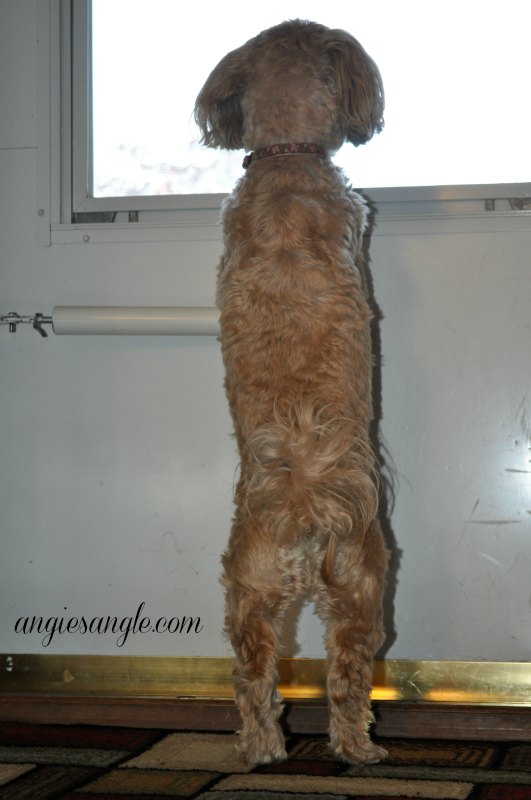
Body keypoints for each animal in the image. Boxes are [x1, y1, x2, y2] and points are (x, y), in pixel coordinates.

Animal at [195, 18, 390, 764]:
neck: (284, 162)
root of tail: (302, 498)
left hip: (247, 593)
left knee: (252, 678)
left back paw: (260, 749)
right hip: (364, 582)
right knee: (347, 675)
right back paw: (359, 748)